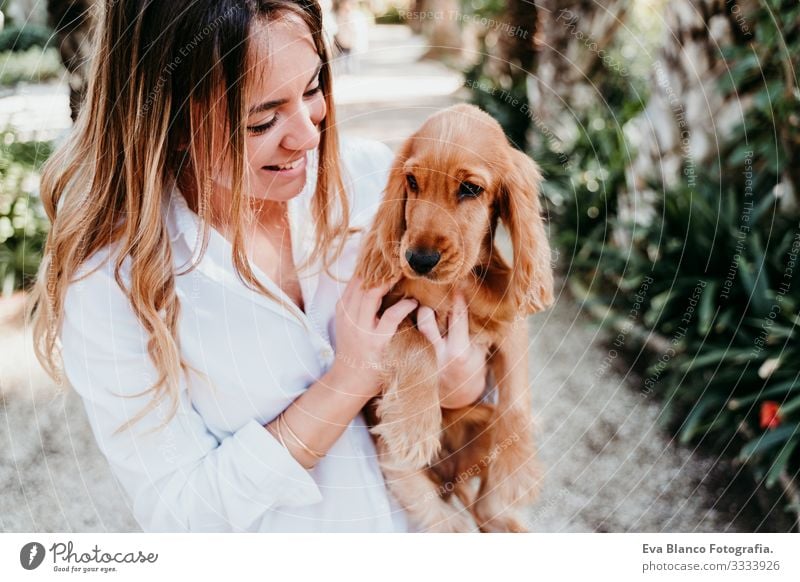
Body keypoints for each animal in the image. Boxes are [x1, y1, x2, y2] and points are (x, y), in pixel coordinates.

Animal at [358, 105, 556, 532]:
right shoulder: (389, 310)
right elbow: (415, 340)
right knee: (431, 503)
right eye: (411, 181)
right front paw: (414, 425)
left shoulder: (511, 327)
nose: (418, 260)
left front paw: (517, 471)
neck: (453, 286)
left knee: (483, 502)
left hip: (482, 422)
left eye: (470, 189)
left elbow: (516, 399)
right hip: (392, 456)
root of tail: (450, 476)